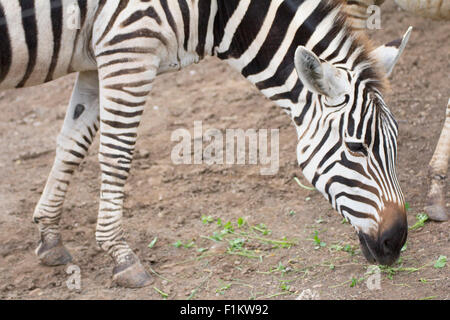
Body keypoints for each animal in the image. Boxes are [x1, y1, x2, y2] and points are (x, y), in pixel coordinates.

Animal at [0, 0, 414, 288]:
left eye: (396, 143)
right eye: (356, 147)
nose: (396, 242)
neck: (213, 11)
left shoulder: (97, 60)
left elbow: (72, 143)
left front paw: (50, 238)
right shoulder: (128, 50)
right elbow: (116, 153)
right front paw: (120, 255)